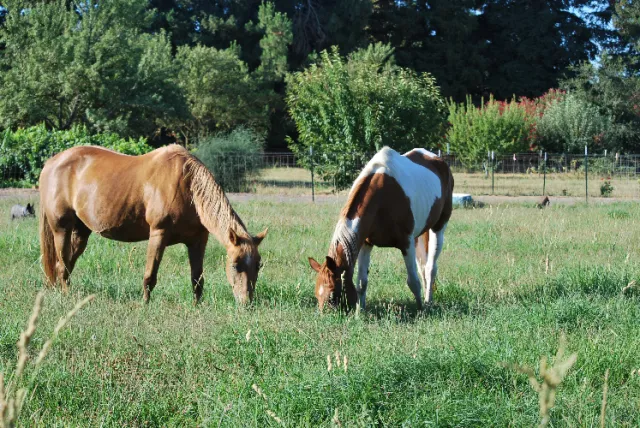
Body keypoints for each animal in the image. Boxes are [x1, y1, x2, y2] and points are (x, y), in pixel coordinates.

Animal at [38, 144, 267, 304]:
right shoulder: (158, 234)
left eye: (258, 265)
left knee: (67, 265)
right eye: (235, 265)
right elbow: (150, 276)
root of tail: (51, 163)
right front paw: (145, 304)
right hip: (61, 229)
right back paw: (66, 297)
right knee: (61, 266)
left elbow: (197, 279)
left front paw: (197, 306)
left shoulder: (198, 241)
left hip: (81, 232)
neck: (188, 187)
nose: (246, 303)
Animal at [308, 147, 453, 311]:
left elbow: (413, 282)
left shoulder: (406, 244)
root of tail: (440, 160)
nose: (325, 315)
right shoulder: (365, 243)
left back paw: (428, 302)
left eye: (332, 294)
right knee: (423, 267)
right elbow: (361, 283)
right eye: (316, 294)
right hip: (418, 236)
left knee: (430, 269)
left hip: (438, 228)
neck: (382, 199)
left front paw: (420, 309)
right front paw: (360, 311)